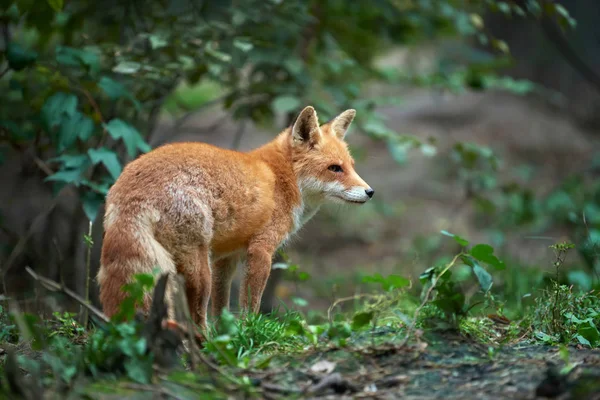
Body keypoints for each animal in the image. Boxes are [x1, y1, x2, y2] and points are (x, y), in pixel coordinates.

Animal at [96, 106, 372, 334]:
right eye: (335, 168)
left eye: (351, 166)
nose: (370, 192)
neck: (282, 180)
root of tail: (129, 189)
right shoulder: (261, 250)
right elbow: (251, 304)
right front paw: (249, 332)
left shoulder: (226, 258)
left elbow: (221, 308)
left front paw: (228, 337)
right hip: (198, 270)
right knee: (197, 321)